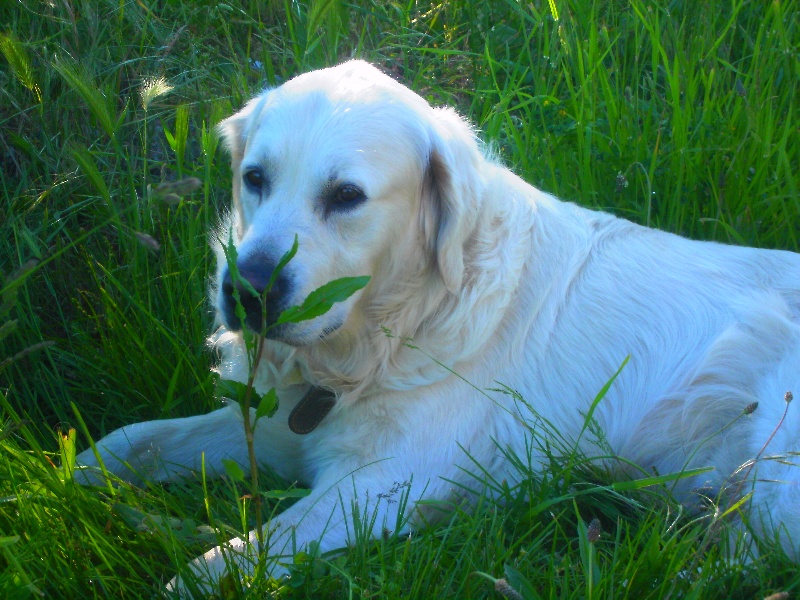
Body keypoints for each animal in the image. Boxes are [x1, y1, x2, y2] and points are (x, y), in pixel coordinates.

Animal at [75, 58, 800, 592]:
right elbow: (133, 440)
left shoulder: (385, 482)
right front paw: (63, 481)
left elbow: (224, 560)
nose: (247, 292)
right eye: (255, 178)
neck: (391, 329)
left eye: (346, 196)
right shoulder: (279, 428)